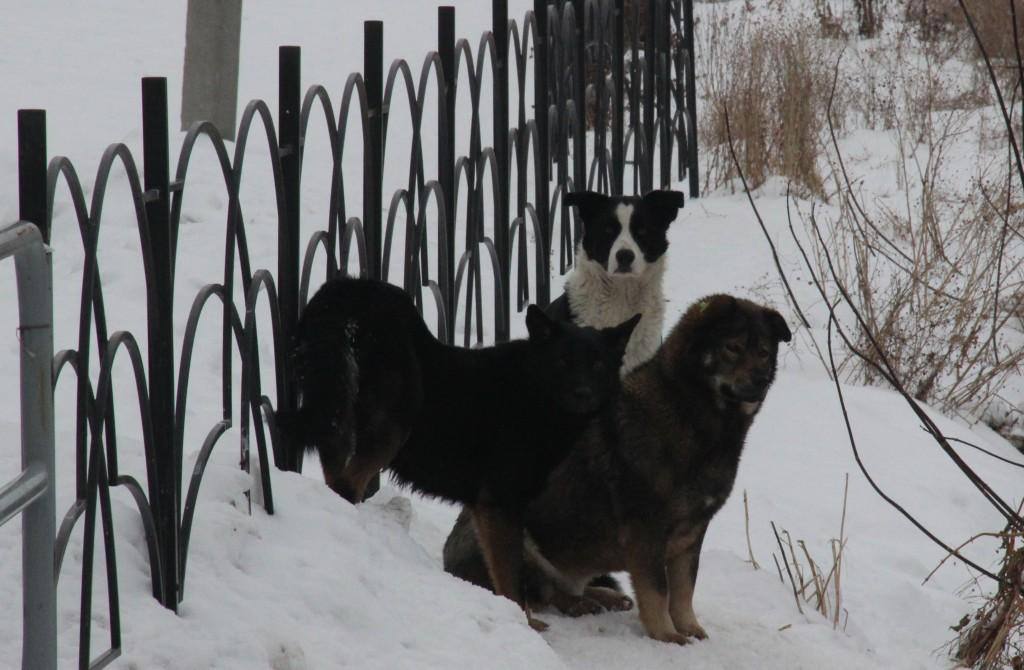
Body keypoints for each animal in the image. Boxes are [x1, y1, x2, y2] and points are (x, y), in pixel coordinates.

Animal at [280, 276, 630, 631]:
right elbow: (511, 577)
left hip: (335, 410)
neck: (534, 392)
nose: (583, 393)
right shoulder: (499, 504)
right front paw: (525, 625)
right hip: (393, 422)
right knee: (347, 483)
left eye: (597, 364)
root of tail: (349, 291)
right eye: (562, 362)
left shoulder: (487, 509)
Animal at [442, 297, 790, 643]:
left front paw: (689, 627)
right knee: (539, 590)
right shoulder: (646, 530)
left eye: (764, 352)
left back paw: (600, 597)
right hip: (514, 537)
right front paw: (666, 634)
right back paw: (576, 604)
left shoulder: (692, 532)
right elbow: (658, 590)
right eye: (733, 347)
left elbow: (684, 588)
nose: (761, 379)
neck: (692, 416)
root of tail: (448, 560)